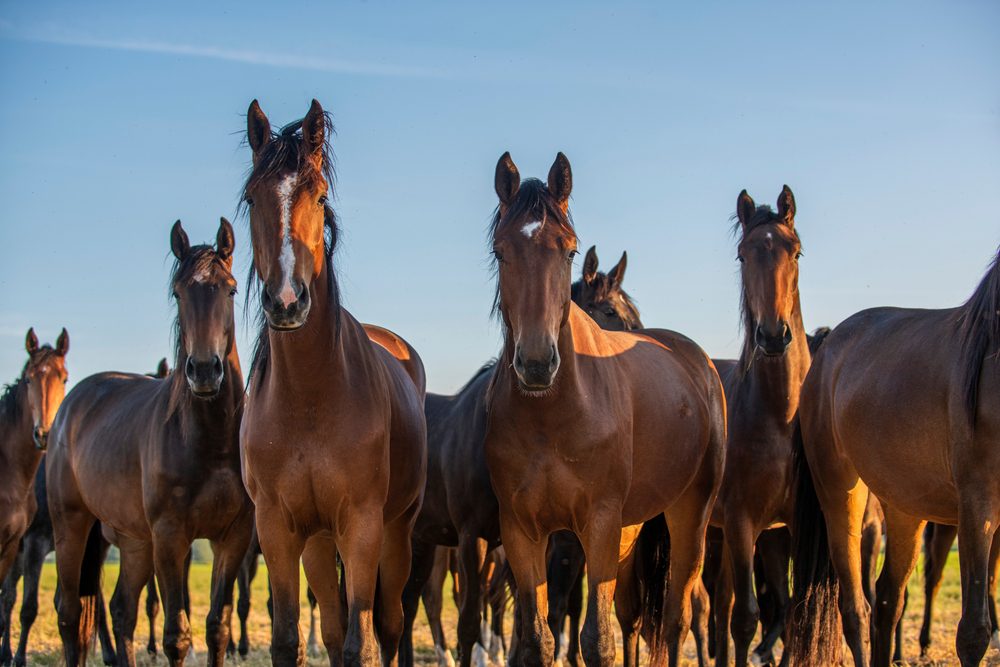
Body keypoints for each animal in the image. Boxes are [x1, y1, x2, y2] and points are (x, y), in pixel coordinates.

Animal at [47, 220, 252, 667]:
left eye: (230, 289)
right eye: (178, 292)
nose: (205, 371)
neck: (211, 441)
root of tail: (72, 404)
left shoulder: (232, 538)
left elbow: (217, 627)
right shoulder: (170, 537)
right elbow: (177, 635)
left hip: (134, 541)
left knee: (121, 611)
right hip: (71, 525)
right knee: (69, 611)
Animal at [243, 99, 430, 667]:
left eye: (320, 195)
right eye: (251, 198)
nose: (287, 301)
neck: (309, 396)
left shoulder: (363, 526)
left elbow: (360, 645)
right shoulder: (279, 530)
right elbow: (290, 639)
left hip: (396, 532)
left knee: (388, 627)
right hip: (319, 544)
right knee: (328, 624)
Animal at [482, 153, 724, 667]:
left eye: (570, 250)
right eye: (500, 252)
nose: (537, 363)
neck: (552, 417)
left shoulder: (598, 524)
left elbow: (596, 639)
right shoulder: (523, 533)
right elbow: (540, 637)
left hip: (690, 516)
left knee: (677, 620)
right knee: (635, 615)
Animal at [788, 245, 1000, 667]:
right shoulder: (977, 506)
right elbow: (973, 631)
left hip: (905, 507)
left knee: (887, 599)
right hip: (842, 495)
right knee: (856, 607)